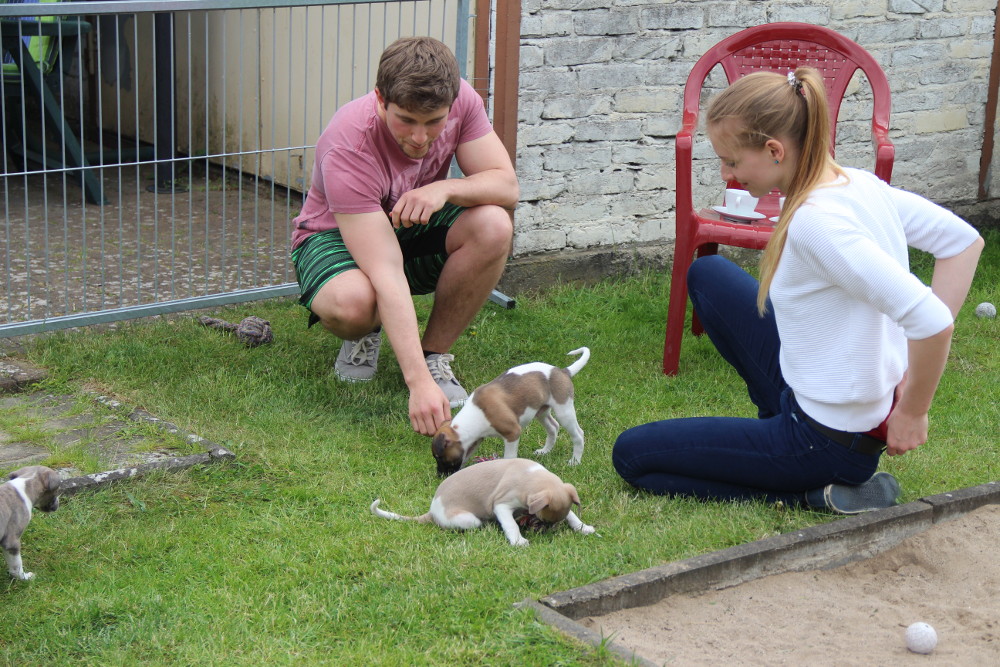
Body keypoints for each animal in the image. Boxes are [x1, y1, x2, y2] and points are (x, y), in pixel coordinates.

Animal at [371, 458, 595, 546]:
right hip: (469, 520)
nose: (549, 531)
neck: (530, 477)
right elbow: (511, 524)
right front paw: (518, 541)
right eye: (543, 520)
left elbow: (572, 514)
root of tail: (432, 511)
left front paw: (583, 527)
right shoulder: (501, 505)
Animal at [431, 347, 589, 476]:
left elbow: (509, 457)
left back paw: (575, 461)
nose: (440, 476)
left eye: (439, 457)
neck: (477, 413)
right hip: (541, 411)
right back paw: (545, 451)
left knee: (578, 434)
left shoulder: (512, 433)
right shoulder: (475, 440)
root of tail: (563, 371)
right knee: (553, 427)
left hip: (564, 411)